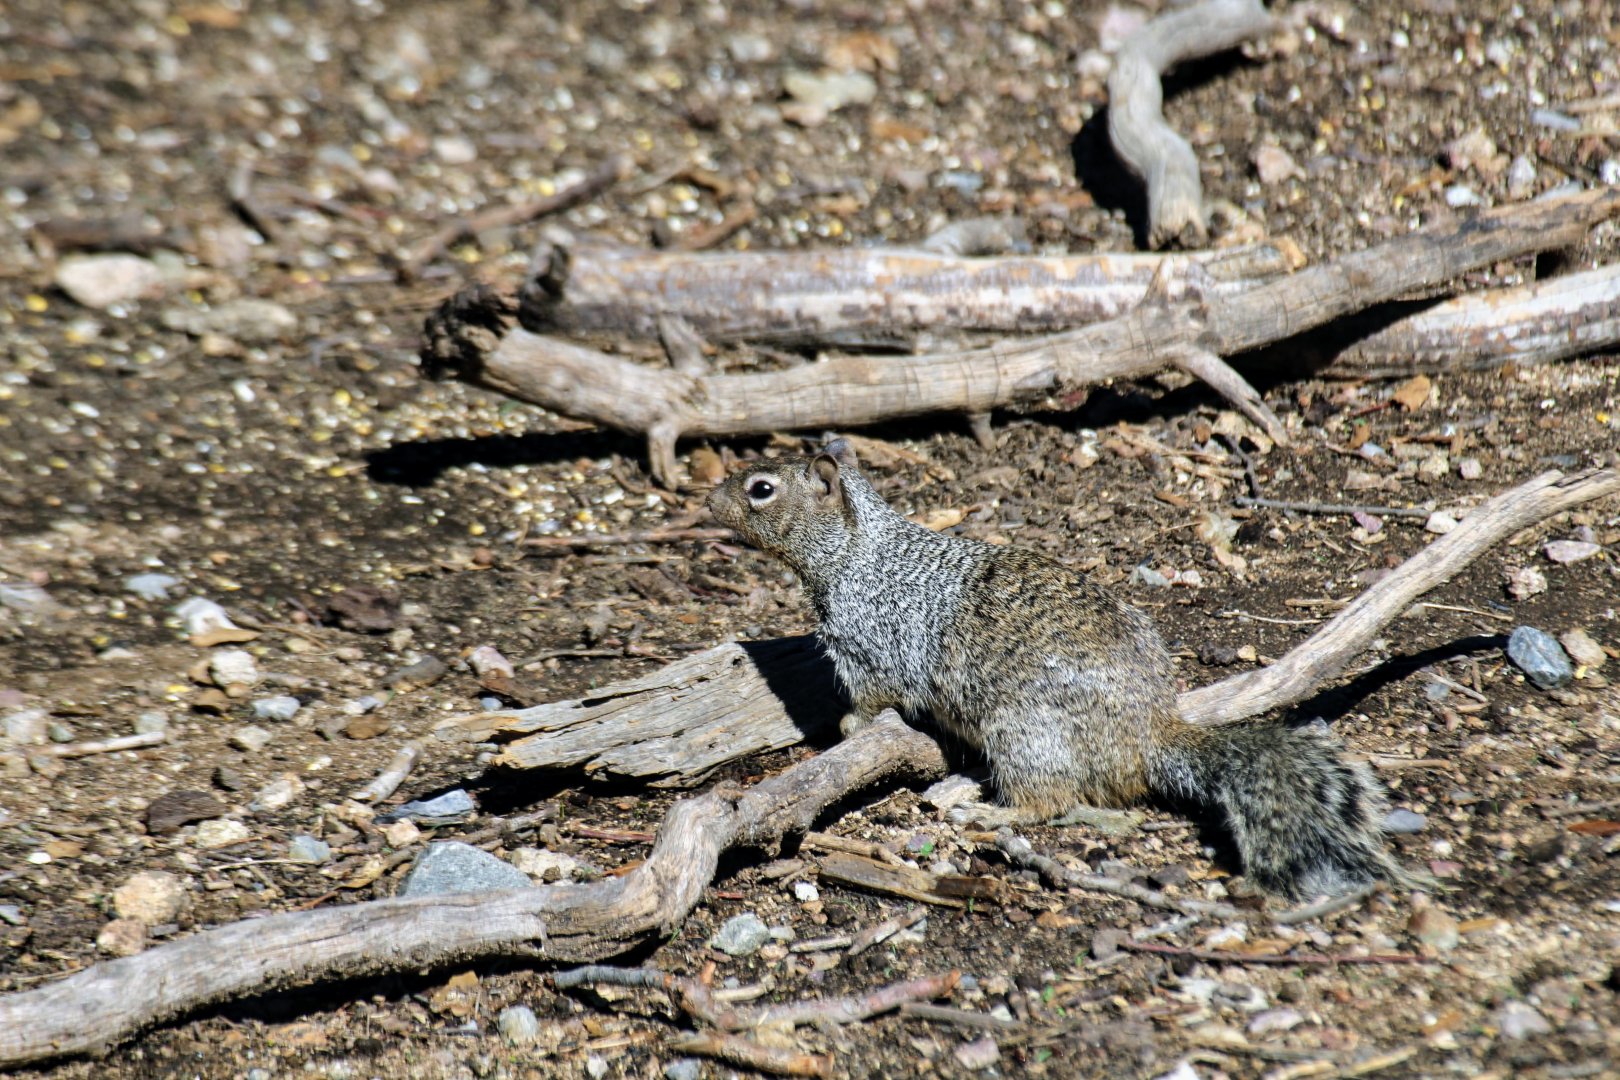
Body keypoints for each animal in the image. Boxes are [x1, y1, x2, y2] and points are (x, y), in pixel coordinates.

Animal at [706, 439, 1421, 899]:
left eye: (761, 489)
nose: (707, 501)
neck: (855, 552)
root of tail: (1145, 740)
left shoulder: (870, 645)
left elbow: (874, 697)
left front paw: (852, 728)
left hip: (1025, 733)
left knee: (1049, 801)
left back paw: (987, 813)